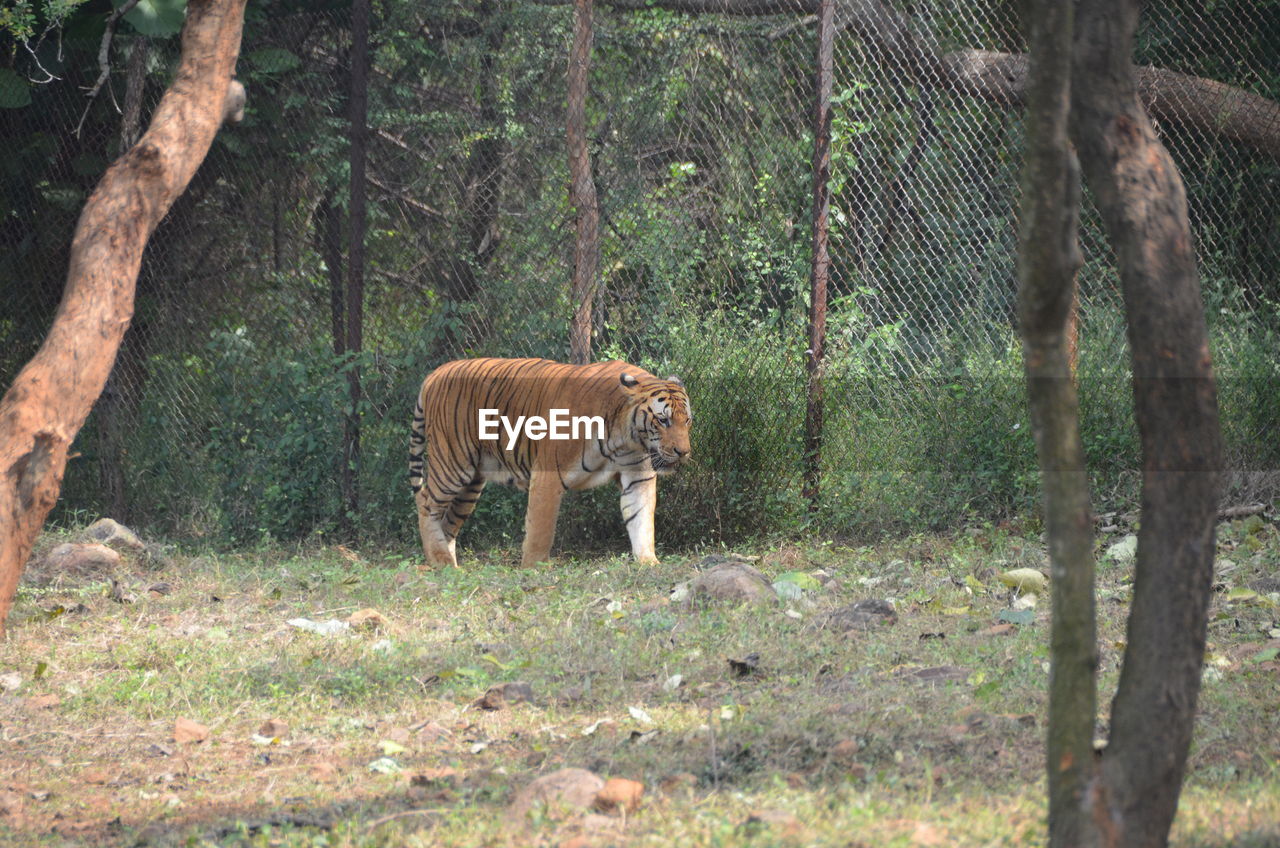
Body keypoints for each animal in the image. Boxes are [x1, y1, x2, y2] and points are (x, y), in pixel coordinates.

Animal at [407, 356, 691, 568]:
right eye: (663, 420)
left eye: (686, 420)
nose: (683, 452)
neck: (625, 439)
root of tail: (435, 373)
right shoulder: (548, 475)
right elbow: (540, 530)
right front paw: (532, 569)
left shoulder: (637, 476)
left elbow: (642, 520)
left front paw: (648, 562)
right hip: (453, 465)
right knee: (426, 503)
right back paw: (439, 560)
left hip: (471, 484)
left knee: (447, 522)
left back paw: (448, 566)